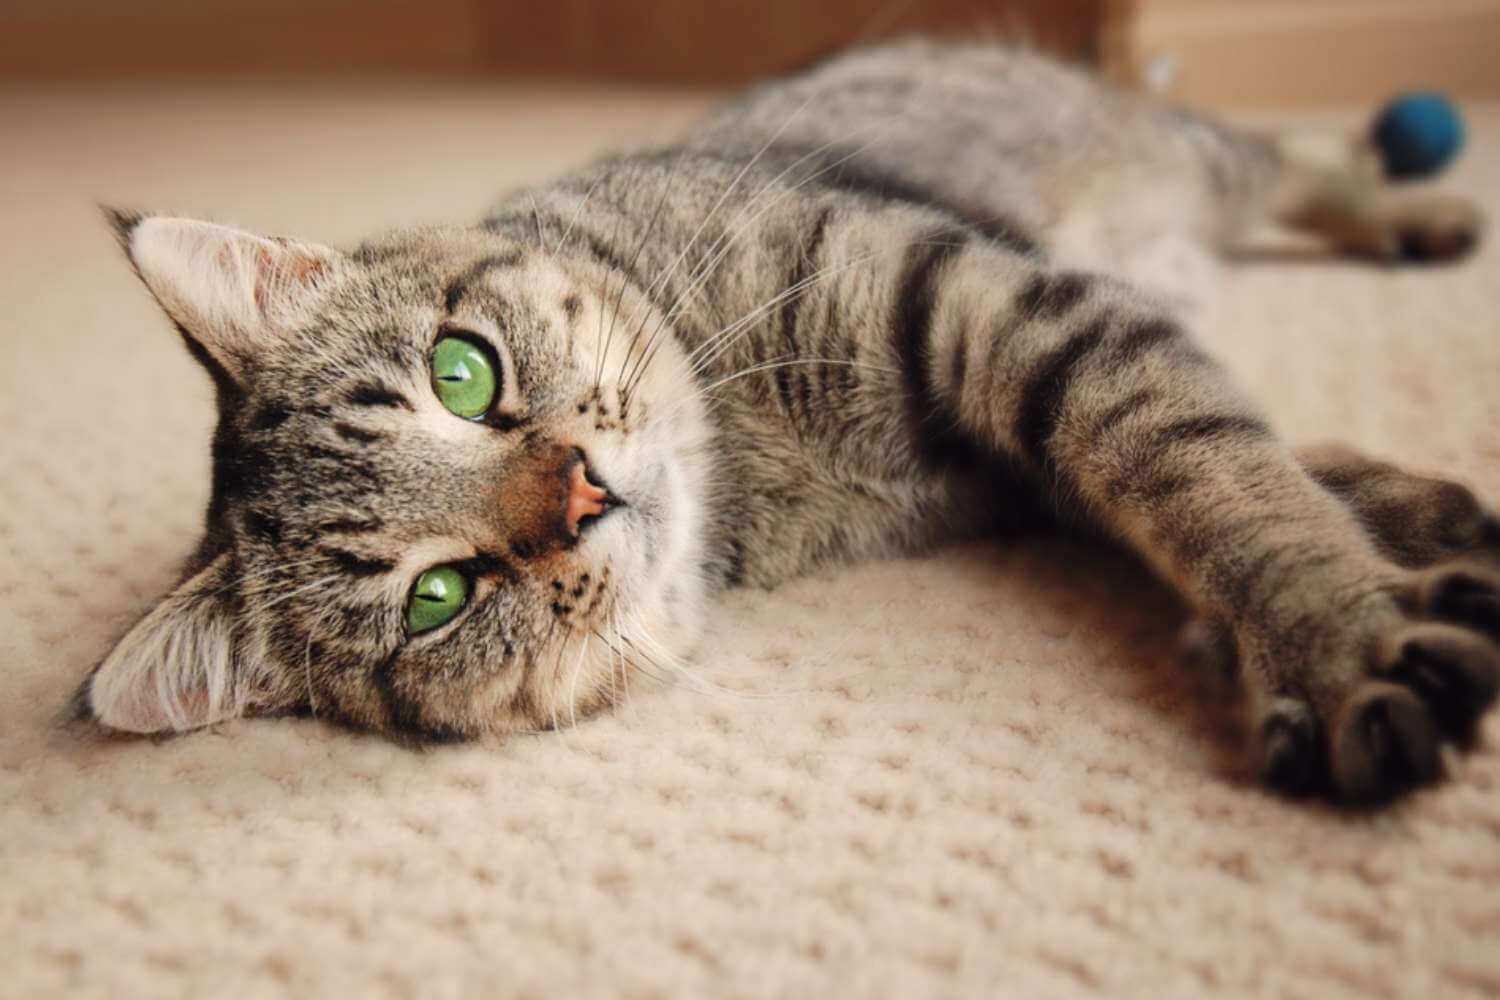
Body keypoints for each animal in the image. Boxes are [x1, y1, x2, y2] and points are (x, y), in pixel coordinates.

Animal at [79, 41, 1500, 803]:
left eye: (465, 373)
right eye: (438, 597)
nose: (584, 490)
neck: (756, 451)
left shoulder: (989, 296)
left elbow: (1209, 474)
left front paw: (1329, 636)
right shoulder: (1028, 431)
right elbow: (1225, 454)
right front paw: (1412, 532)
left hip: (1181, 159)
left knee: (1292, 157)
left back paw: (1415, 207)